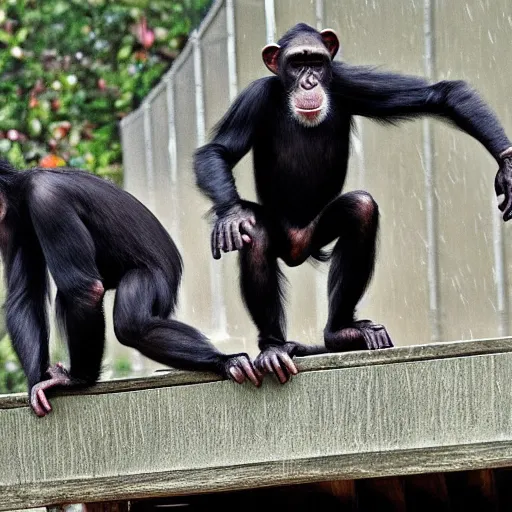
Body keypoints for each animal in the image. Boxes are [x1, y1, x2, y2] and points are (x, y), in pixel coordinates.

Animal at [0, 160, 262, 416]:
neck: (19, 195)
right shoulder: (10, 226)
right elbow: (23, 295)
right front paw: (37, 382)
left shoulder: (48, 200)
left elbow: (86, 291)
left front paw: (77, 380)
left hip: (157, 282)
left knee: (130, 322)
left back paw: (224, 360)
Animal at [194, 24, 512, 384]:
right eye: (296, 63)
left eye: (317, 62)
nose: (309, 81)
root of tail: (298, 250)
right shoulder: (255, 97)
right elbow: (218, 151)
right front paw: (231, 215)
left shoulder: (349, 81)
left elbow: (440, 94)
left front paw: (507, 166)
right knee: (257, 231)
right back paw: (274, 346)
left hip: (316, 234)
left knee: (360, 211)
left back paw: (341, 332)